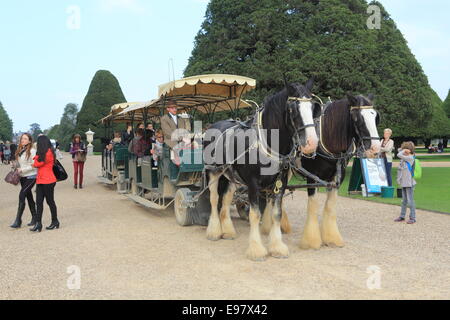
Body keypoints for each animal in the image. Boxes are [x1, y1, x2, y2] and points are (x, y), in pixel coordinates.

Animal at [202, 79, 322, 262]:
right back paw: (214, 232)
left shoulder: (280, 183)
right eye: (293, 109)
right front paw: (256, 249)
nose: (311, 143)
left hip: (231, 176)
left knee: (227, 199)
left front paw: (277, 247)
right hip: (213, 172)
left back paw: (227, 231)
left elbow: (276, 214)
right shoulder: (253, 184)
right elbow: (255, 214)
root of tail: (213, 126)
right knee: (215, 199)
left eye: (313, 107)